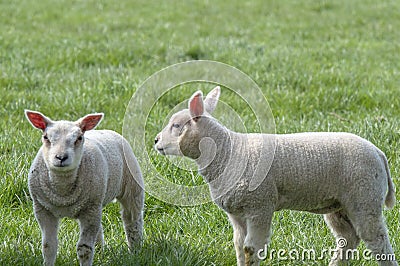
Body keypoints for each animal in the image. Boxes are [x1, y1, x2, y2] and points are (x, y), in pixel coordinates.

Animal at [25, 109, 144, 264]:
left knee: (132, 220)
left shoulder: (90, 209)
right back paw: (100, 251)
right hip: (95, 202)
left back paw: (135, 250)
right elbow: (48, 246)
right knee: (99, 227)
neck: (62, 192)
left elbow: (84, 248)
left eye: (79, 138)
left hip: (131, 187)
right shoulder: (43, 209)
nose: (61, 157)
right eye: (46, 137)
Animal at [154, 86, 396, 264]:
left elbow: (251, 248)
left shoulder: (260, 205)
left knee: (377, 240)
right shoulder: (237, 212)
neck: (229, 152)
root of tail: (378, 153)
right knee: (348, 239)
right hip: (339, 205)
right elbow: (239, 246)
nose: (156, 141)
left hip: (364, 197)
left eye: (176, 125)